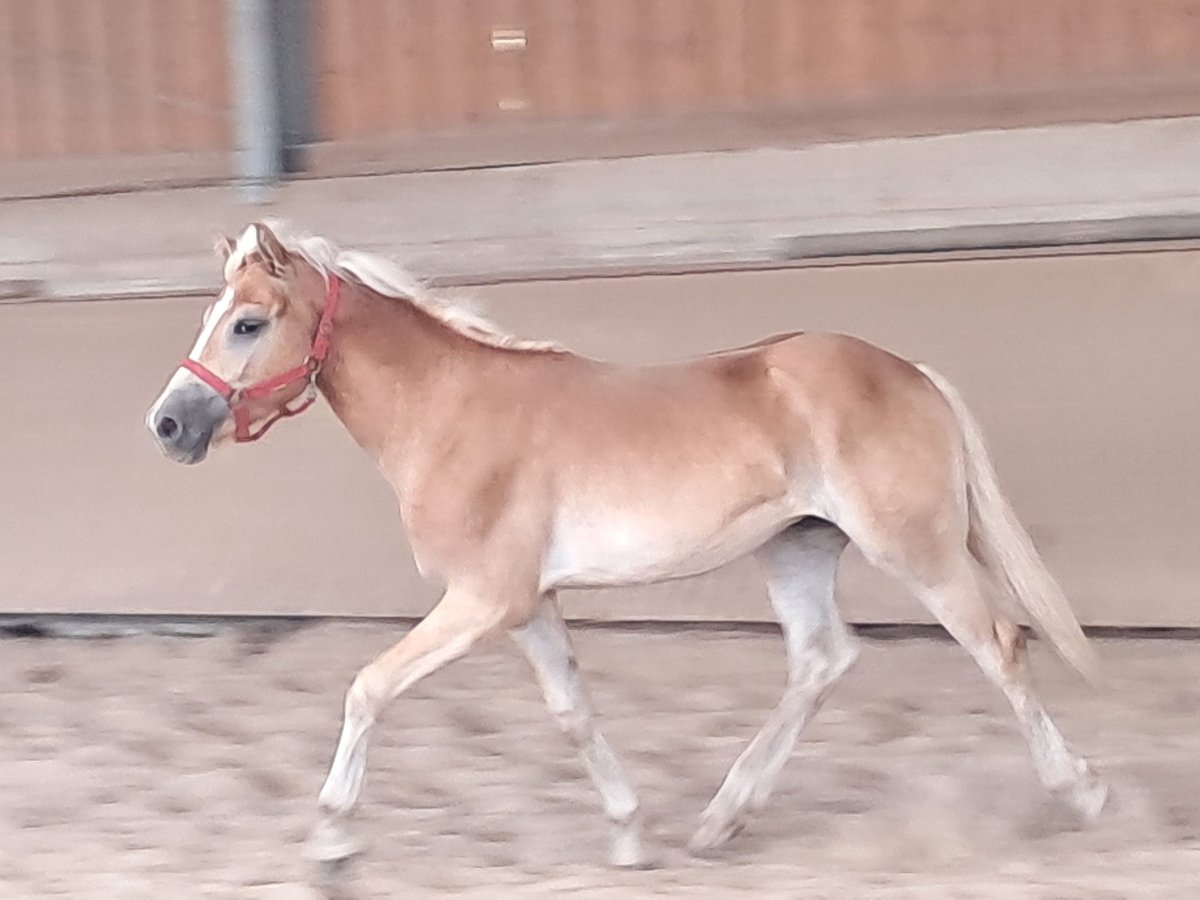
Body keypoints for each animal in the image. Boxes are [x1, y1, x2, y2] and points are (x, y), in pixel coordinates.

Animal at [147, 224, 1104, 873]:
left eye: (246, 323)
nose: (167, 426)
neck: (449, 411)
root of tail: (909, 372)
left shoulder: (484, 598)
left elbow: (369, 688)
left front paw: (332, 839)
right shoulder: (527, 604)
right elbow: (573, 713)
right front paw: (632, 833)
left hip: (915, 548)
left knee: (998, 644)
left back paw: (1084, 791)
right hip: (796, 550)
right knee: (822, 660)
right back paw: (722, 818)